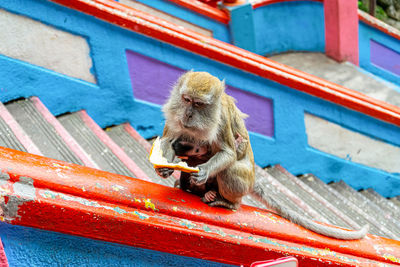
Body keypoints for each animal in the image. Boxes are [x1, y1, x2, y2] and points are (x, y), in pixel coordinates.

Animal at [154, 71, 368, 241]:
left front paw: (204, 171)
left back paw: (228, 202)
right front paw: (165, 167)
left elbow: (228, 153)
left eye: (198, 104)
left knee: (230, 171)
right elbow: (168, 140)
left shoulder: (221, 119)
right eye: (186, 100)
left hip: (244, 180)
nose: (188, 115)